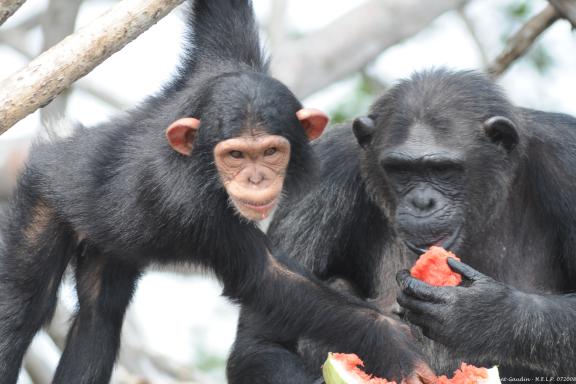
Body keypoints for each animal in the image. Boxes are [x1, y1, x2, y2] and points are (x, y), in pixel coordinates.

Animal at [0, 0, 434, 384]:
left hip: (109, 244)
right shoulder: (189, 204)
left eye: (270, 152)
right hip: (41, 201)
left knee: (99, 314)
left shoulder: (226, 58)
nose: (255, 179)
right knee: (21, 308)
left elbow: (222, 14)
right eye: (236, 155)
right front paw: (395, 343)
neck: (204, 165)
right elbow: (264, 277)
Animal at [231, 68, 576, 380]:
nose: (421, 202)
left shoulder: (566, 157)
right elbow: (263, 336)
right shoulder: (325, 168)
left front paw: (482, 313)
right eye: (400, 170)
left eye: (443, 169)